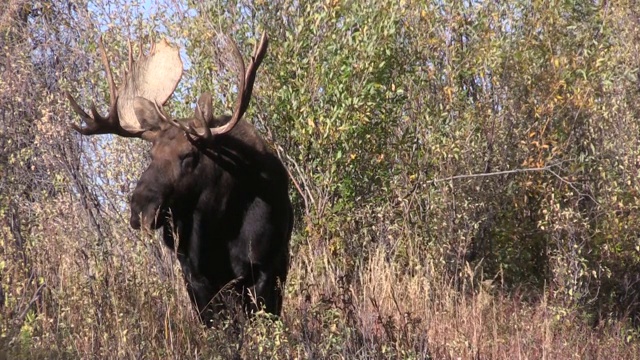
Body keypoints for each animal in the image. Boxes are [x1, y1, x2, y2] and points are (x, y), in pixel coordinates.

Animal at [65, 34, 292, 326]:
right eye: (151, 154)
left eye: (188, 155)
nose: (140, 210)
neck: (221, 223)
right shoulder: (194, 276)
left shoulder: (265, 269)